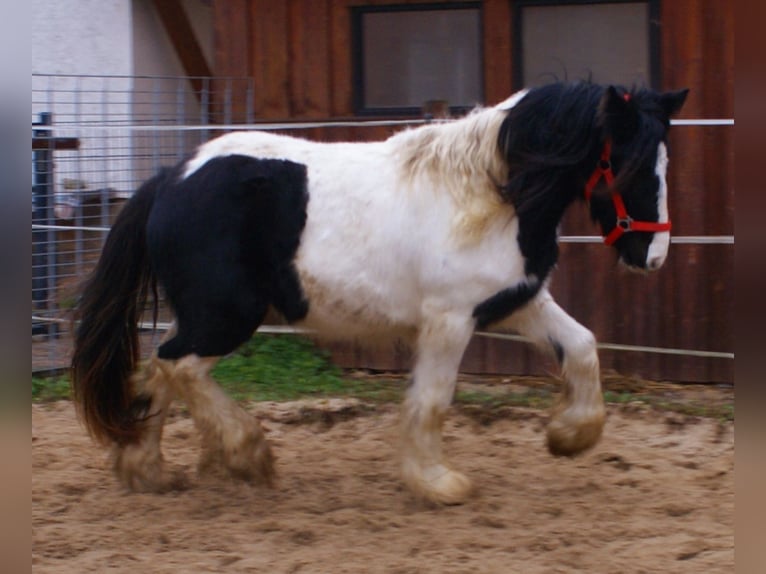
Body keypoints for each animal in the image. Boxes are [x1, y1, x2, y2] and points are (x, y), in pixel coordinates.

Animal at [70, 81, 688, 504]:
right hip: (226, 316)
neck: (490, 194)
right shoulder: (450, 319)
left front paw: (569, 437)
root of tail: (169, 180)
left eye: (663, 162)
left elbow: (581, 346)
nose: (653, 257)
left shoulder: (516, 302)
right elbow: (433, 400)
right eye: (630, 165)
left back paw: (147, 469)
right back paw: (248, 455)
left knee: (157, 369)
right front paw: (439, 482)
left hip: (203, 313)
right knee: (178, 366)